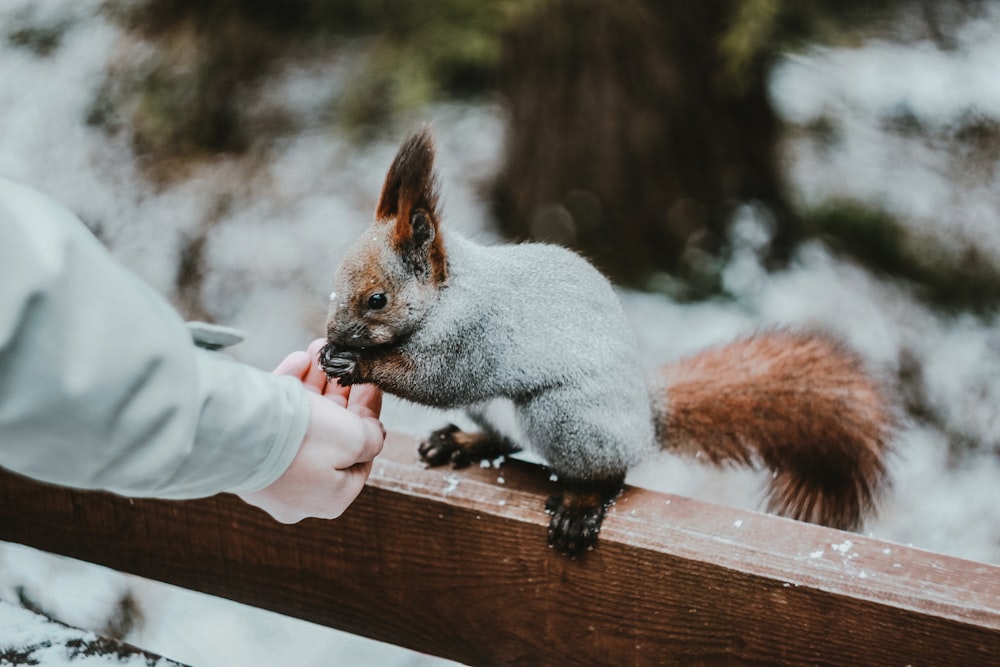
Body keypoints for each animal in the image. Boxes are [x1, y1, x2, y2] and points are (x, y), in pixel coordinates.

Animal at [322, 128, 900, 556]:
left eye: (377, 299)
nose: (331, 335)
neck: (450, 293)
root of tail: (644, 426)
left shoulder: (476, 336)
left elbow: (435, 380)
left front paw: (357, 363)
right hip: (504, 410)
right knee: (507, 439)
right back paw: (463, 442)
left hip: (566, 416)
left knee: (609, 472)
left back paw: (583, 501)